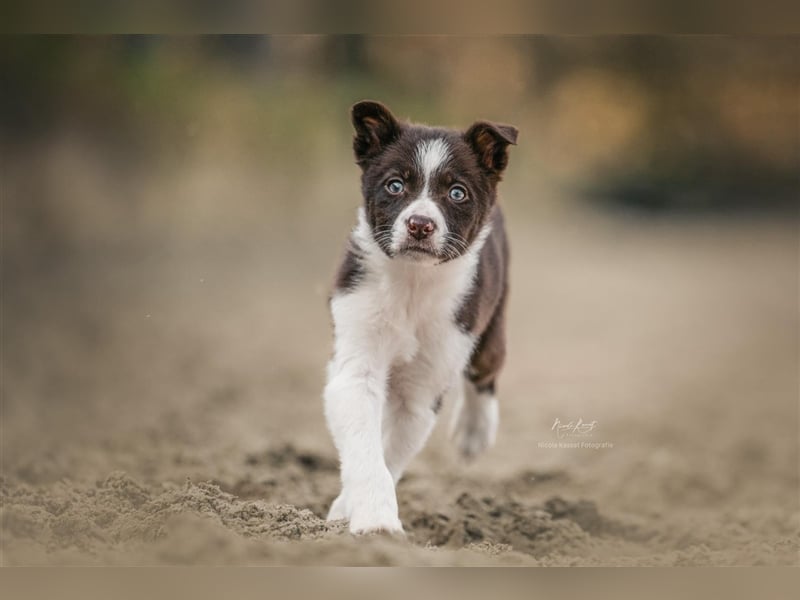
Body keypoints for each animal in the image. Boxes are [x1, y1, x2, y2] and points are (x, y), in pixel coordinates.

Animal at [324, 99, 520, 536]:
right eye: (395, 185)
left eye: (457, 193)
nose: (420, 224)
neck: (413, 282)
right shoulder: (357, 359)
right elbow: (367, 446)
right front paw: (372, 520)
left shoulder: (424, 385)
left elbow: (392, 451)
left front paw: (360, 515)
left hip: (489, 324)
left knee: (485, 372)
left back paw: (474, 433)